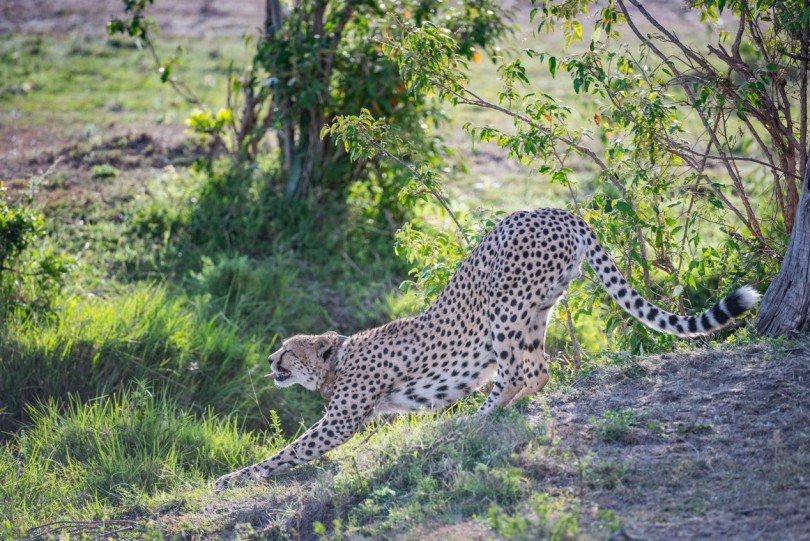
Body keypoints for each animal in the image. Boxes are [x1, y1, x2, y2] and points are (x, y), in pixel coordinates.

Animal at [215, 207, 756, 490]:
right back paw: (494, 411)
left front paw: (231, 479)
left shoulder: (342, 419)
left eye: (287, 351)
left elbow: (291, 450)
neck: (341, 359)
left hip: (504, 305)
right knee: (539, 371)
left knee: (518, 372)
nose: (269, 361)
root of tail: (555, 209)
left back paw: (473, 419)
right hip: (537, 309)